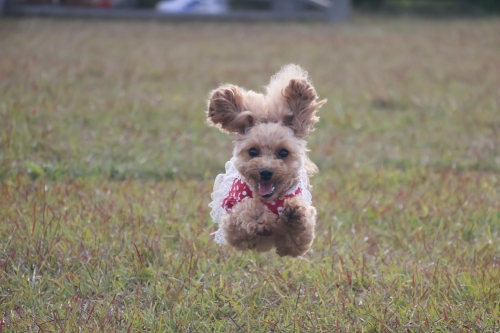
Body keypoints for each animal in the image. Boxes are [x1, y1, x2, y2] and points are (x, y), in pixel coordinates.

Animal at [206, 64, 326, 256]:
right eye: (253, 151)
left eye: (284, 152)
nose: (266, 172)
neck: (270, 201)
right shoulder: (232, 227)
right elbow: (244, 210)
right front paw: (260, 219)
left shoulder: (297, 243)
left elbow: (297, 231)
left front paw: (294, 212)